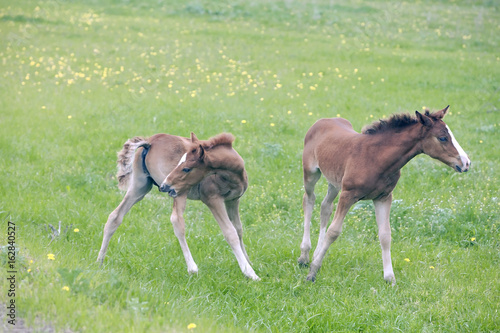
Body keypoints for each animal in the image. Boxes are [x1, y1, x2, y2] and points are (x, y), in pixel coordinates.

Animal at [99, 132, 260, 280]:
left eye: (186, 168)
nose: (165, 186)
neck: (234, 174)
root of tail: (150, 142)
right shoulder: (213, 199)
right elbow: (230, 232)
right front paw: (250, 273)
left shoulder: (233, 200)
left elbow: (239, 229)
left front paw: (249, 262)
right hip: (179, 191)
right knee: (177, 220)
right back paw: (192, 268)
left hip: (140, 187)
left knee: (115, 216)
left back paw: (99, 262)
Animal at [298, 106, 470, 282]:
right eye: (442, 138)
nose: (466, 163)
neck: (375, 157)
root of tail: (323, 120)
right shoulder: (347, 195)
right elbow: (334, 231)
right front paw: (313, 272)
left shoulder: (383, 197)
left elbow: (385, 235)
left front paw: (390, 278)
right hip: (311, 173)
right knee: (309, 200)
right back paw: (304, 256)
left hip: (334, 181)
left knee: (325, 206)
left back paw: (316, 253)